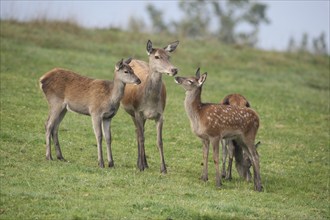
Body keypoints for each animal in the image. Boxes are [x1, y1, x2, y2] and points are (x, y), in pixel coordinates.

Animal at [120, 40, 179, 174]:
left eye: (169, 56)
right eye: (156, 56)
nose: (174, 70)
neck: (151, 103)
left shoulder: (160, 115)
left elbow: (159, 141)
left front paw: (163, 169)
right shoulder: (138, 111)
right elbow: (142, 138)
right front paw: (141, 166)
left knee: (139, 132)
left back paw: (144, 163)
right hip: (132, 113)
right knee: (138, 133)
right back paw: (140, 163)